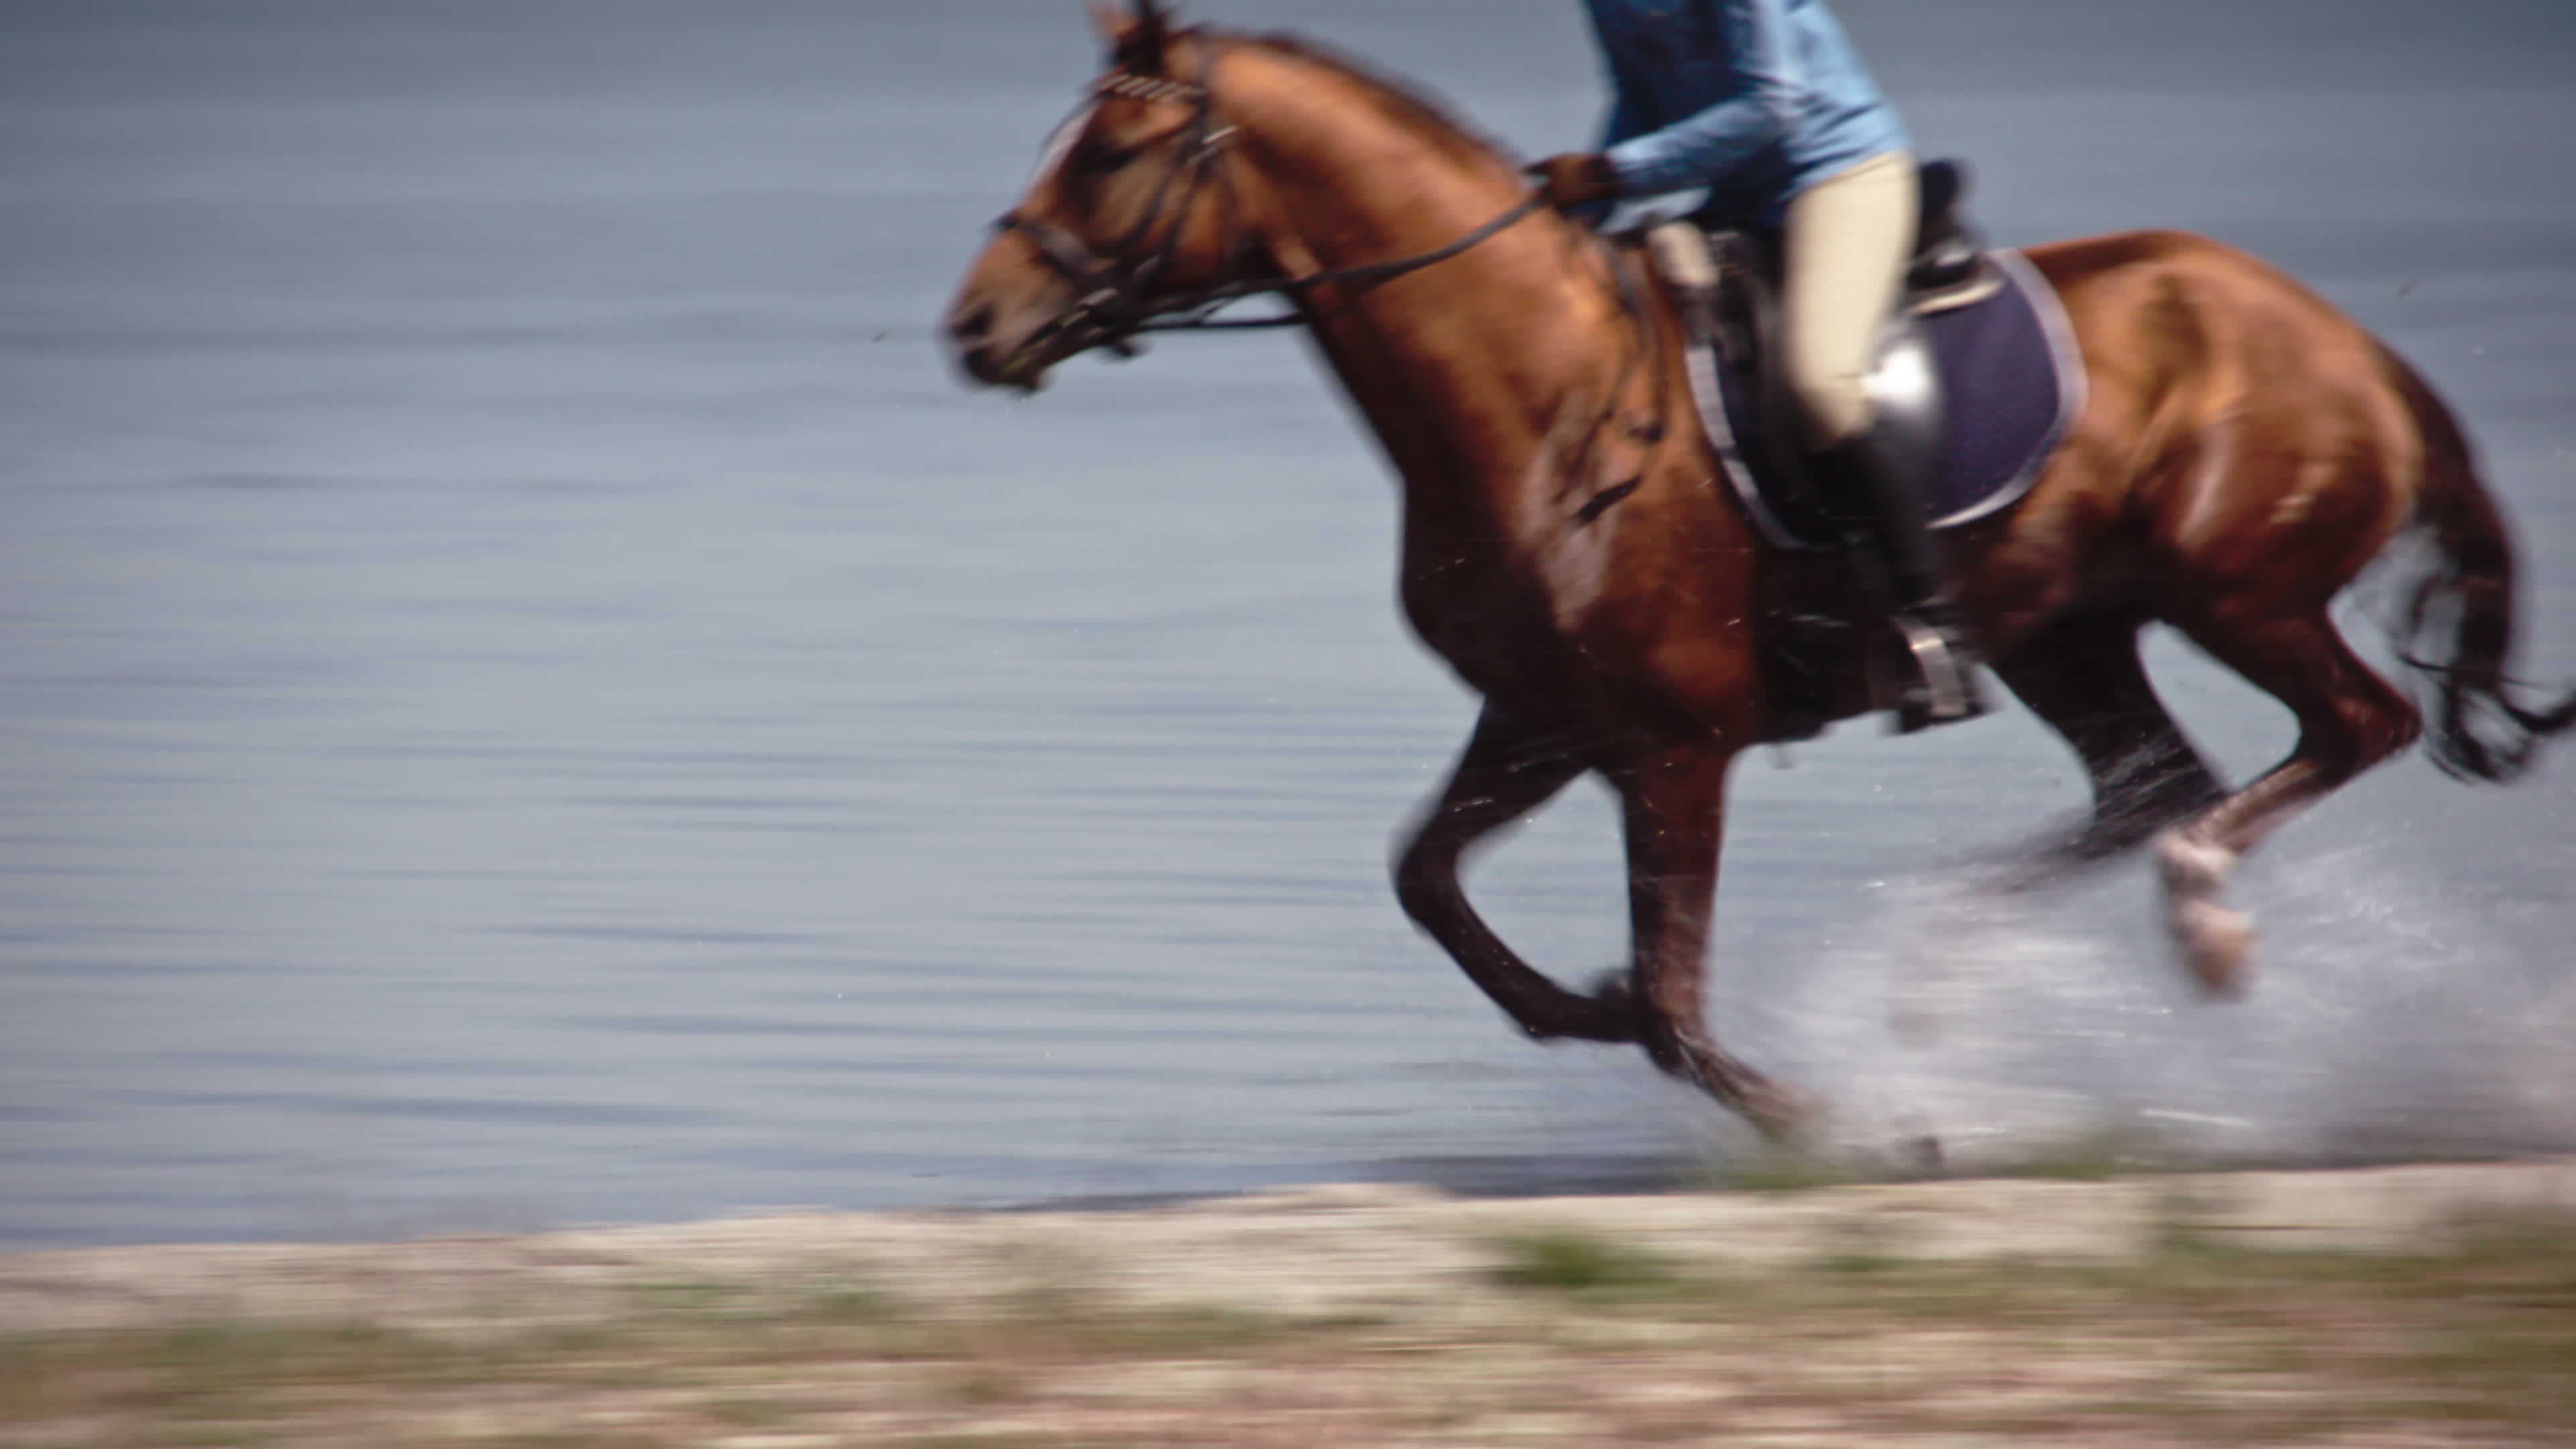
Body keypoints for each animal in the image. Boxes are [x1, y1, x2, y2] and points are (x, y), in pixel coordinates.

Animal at [948, 0, 2576, 1134]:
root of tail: (2340, 339)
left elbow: (1674, 1003)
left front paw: (1840, 1127)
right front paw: (1580, 1007)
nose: (973, 327)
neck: (1538, 399)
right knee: (2153, 786)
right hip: (2067, 631)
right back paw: (1939, 957)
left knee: (2338, 733)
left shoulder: (1675, 746)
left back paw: (2197, 921)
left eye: (1111, 154)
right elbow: (1430, 884)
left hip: (2238, 590)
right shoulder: (1543, 719)